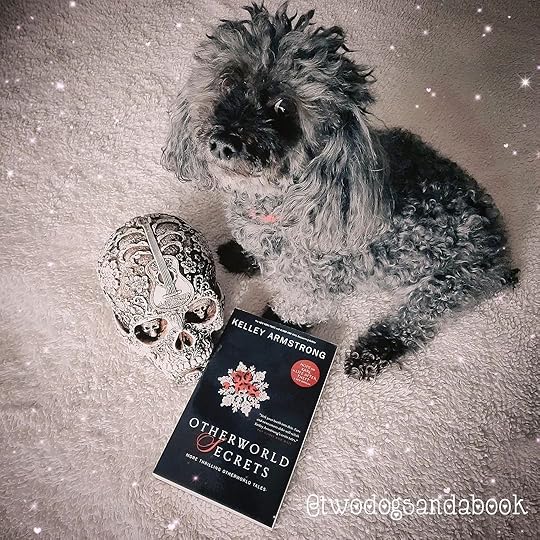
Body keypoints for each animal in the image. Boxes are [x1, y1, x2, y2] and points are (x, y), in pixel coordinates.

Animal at [161, 4, 520, 382]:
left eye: (283, 107)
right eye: (230, 80)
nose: (223, 142)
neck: (281, 206)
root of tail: (498, 241)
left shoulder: (315, 281)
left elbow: (298, 309)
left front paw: (277, 325)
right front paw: (244, 256)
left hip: (453, 283)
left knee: (417, 319)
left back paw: (374, 349)